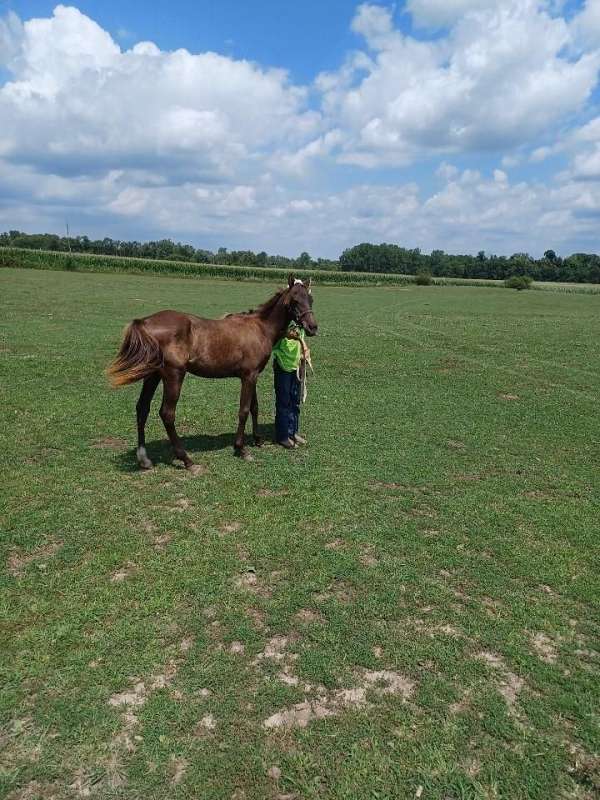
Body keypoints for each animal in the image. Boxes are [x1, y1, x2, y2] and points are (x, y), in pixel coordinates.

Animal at [106, 276, 318, 468]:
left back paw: (144, 458)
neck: (260, 328)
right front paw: (241, 449)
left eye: (311, 299)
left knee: (142, 408)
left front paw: (257, 440)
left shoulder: (253, 376)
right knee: (167, 413)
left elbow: (254, 408)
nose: (312, 327)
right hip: (174, 375)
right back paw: (187, 460)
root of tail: (145, 322)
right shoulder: (248, 377)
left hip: (153, 375)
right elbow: (243, 410)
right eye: (294, 300)